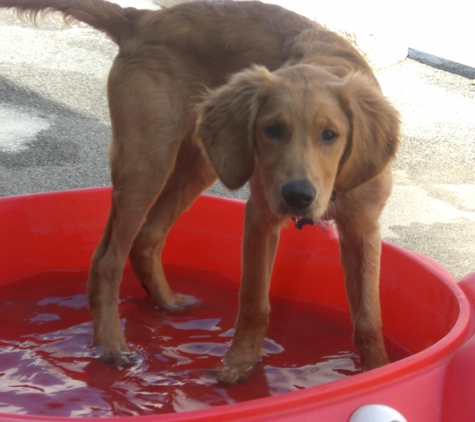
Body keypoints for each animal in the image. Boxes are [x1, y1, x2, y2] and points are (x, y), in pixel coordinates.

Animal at [0, 0, 400, 384]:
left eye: (330, 135)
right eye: (272, 130)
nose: (297, 196)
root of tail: (141, 18)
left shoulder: (363, 229)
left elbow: (369, 317)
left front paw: (376, 370)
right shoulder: (260, 216)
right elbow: (254, 303)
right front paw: (239, 365)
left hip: (202, 160)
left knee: (147, 236)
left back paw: (168, 304)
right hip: (148, 158)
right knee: (107, 260)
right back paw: (112, 346)